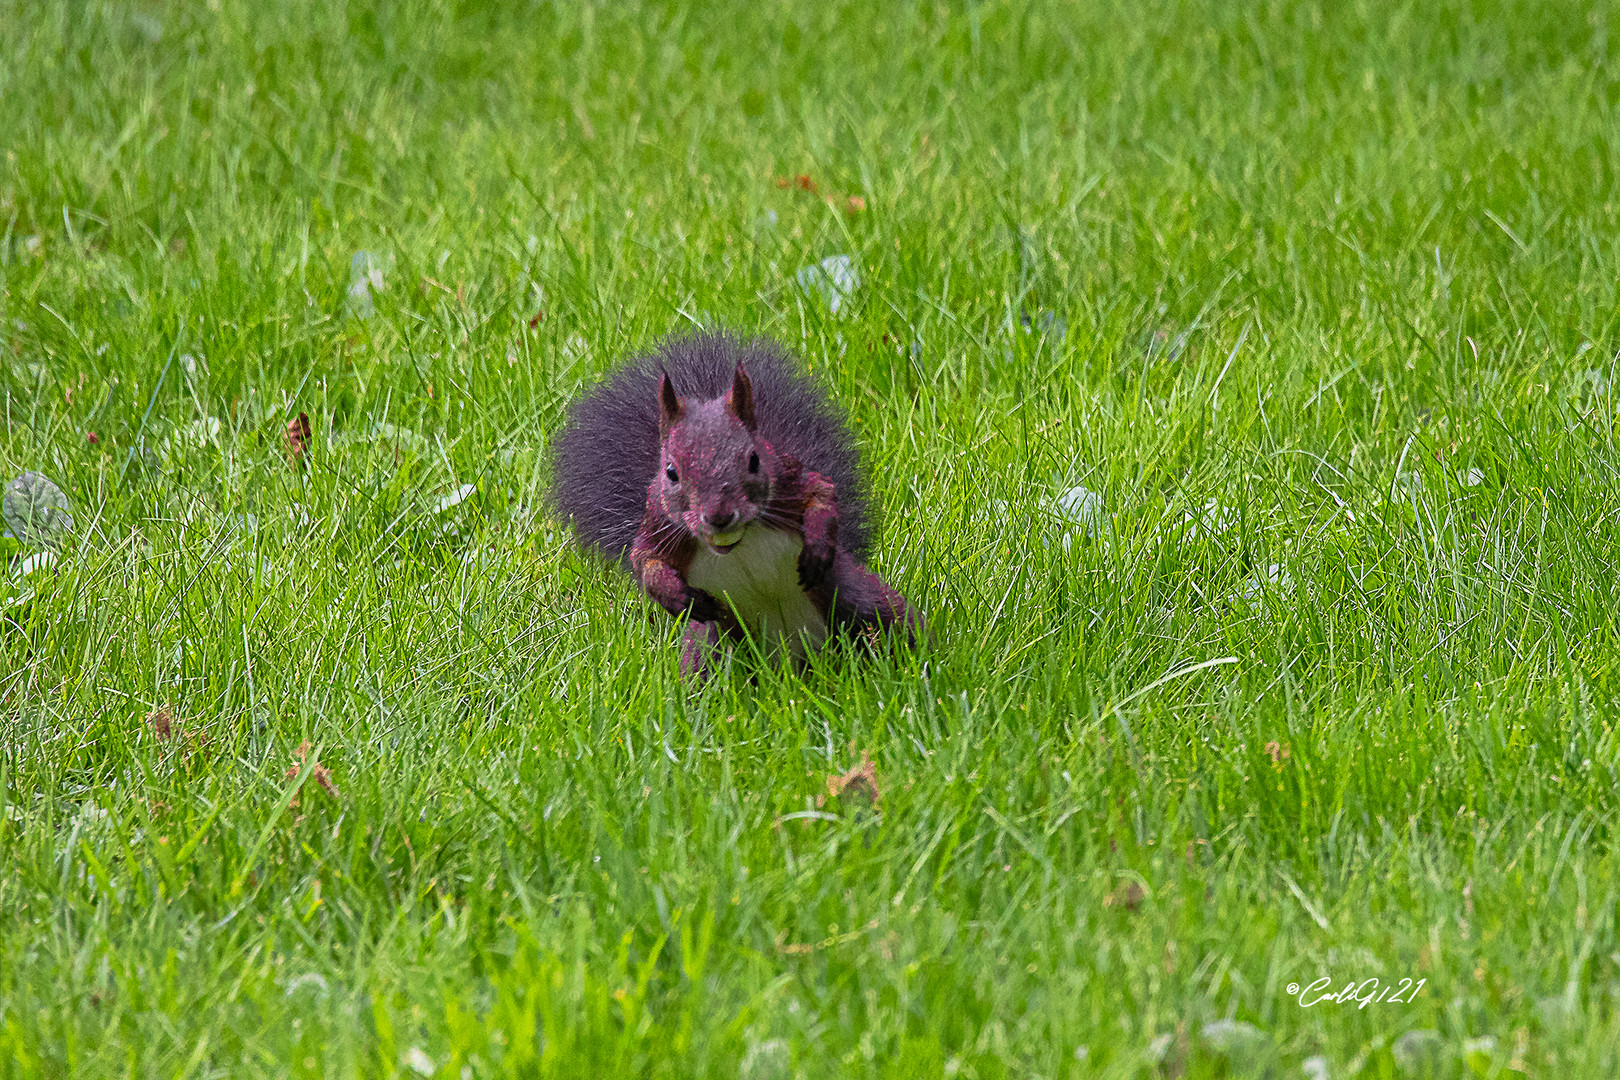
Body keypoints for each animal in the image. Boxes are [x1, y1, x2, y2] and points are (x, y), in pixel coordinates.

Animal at [547, 333, 920, 680]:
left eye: (754, 460)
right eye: (671, 472)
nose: (719, 516)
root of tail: (793, 664)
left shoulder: (788, 479)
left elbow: (821, 494)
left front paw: (817, 545)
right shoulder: (660, 523)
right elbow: (645, 560)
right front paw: (675, 595)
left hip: (861, 603)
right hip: (712, 642)